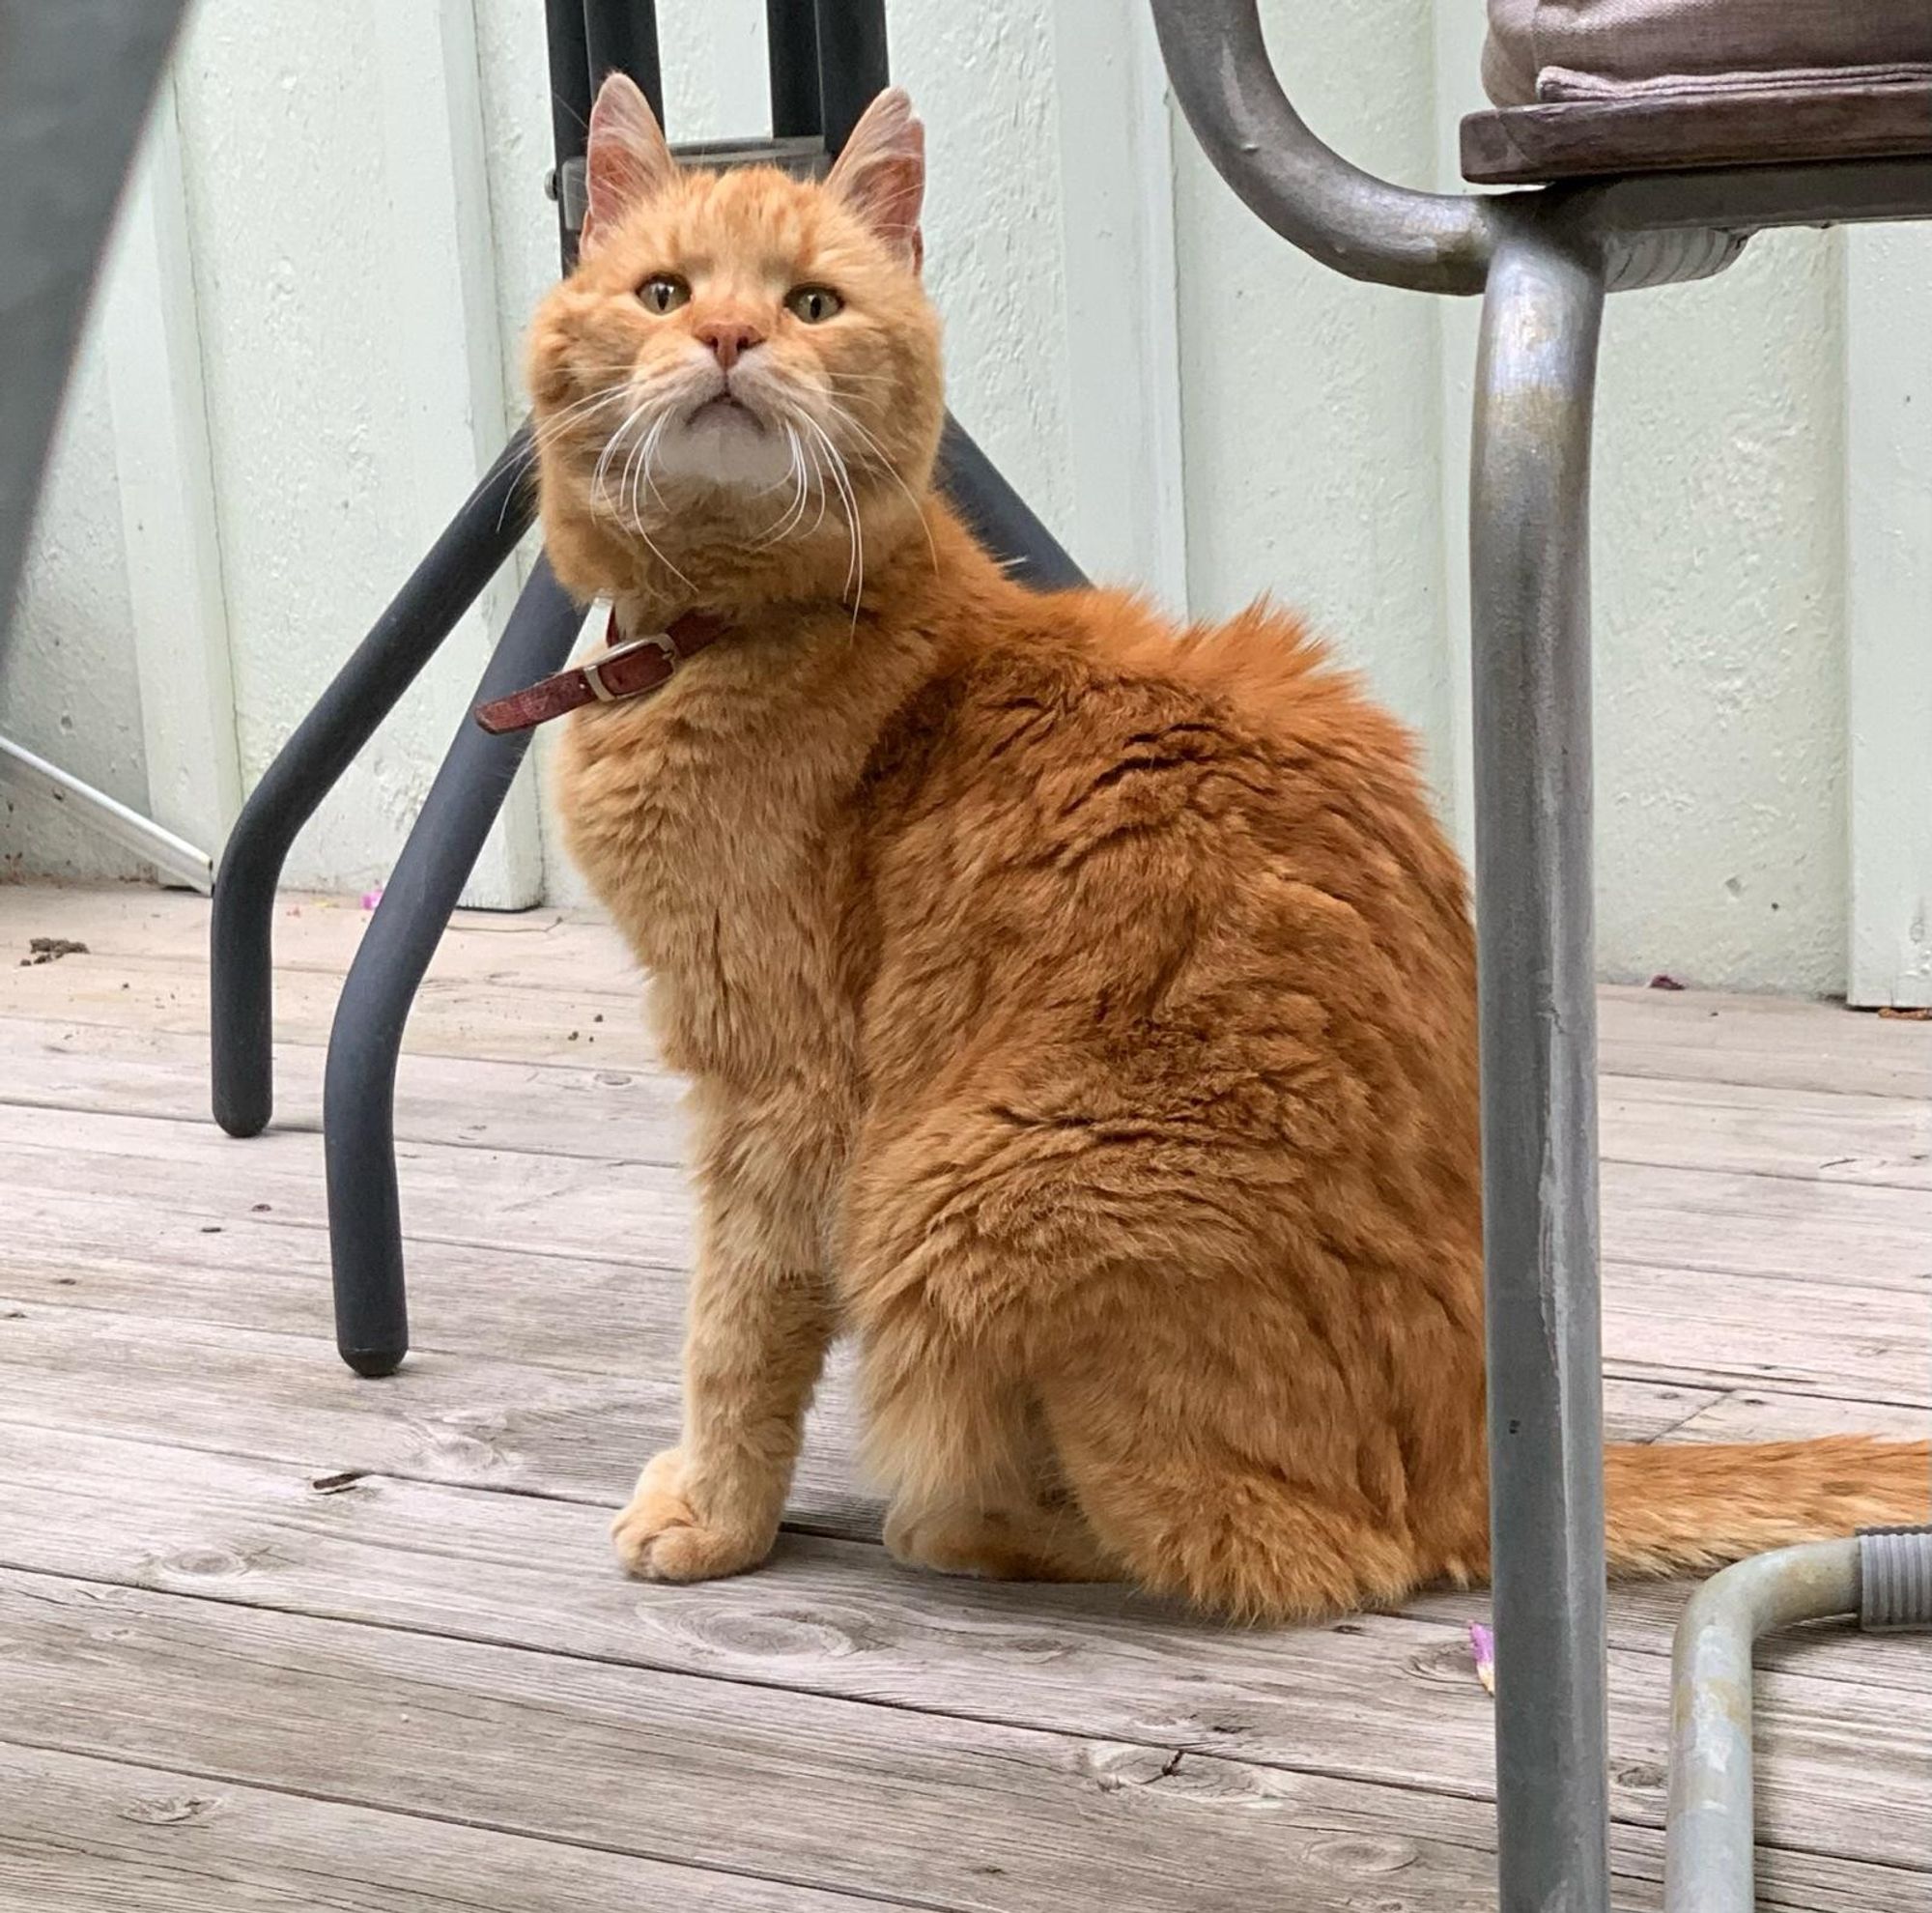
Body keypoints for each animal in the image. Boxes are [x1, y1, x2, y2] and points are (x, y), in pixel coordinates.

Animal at [522, 78, 1924, 1631]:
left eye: (811, 302)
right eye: (664, 293)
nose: (726, 339)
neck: (733, 632)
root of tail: (1481, 1457)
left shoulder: (778, 1091)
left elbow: (736, 1323)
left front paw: (714, 1513)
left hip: (954, 1198)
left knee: (1271, 1548)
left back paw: (951, 1516)